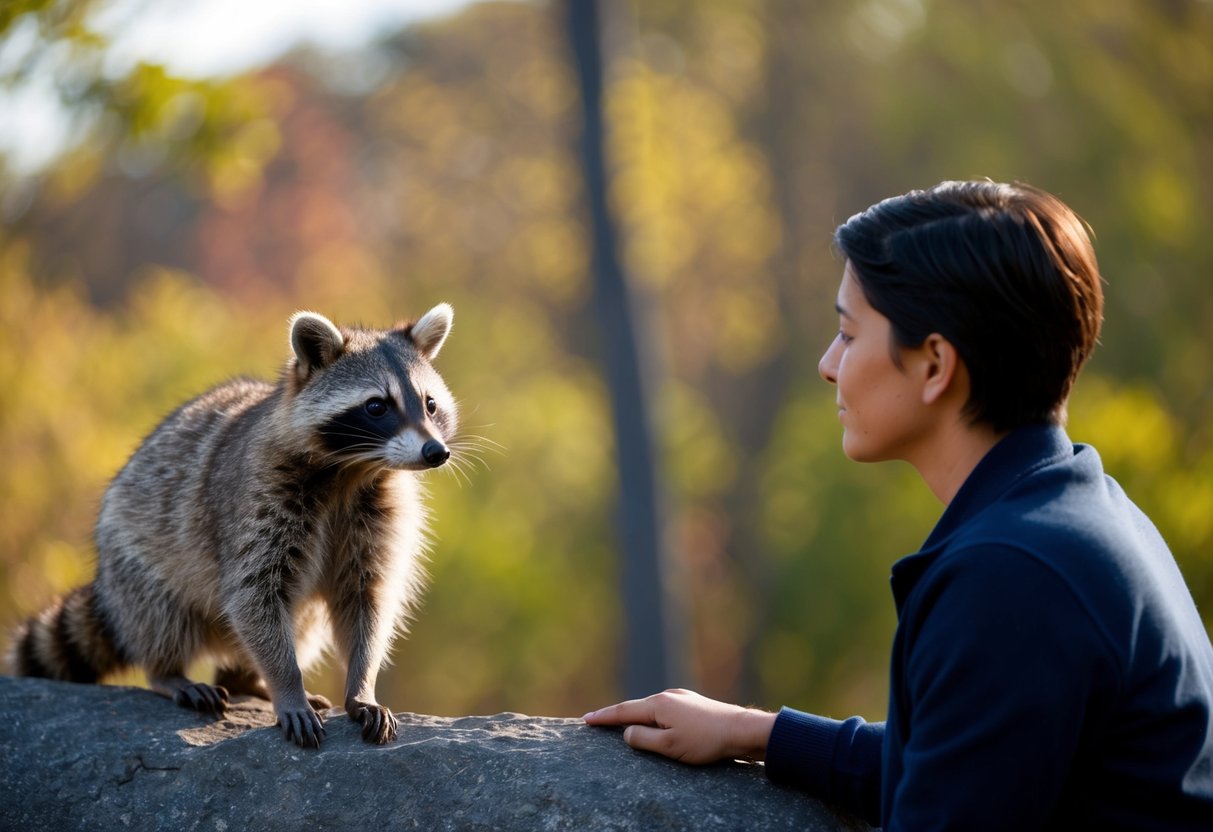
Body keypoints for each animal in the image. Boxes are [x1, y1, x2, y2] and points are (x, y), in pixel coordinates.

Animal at [7, 304, 458, 748]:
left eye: (430, 404)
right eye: (377, 406)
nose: (436, 452)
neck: (352, 471)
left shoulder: (380, 514)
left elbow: (368, 597)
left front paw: (362, 686)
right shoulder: (256, 501)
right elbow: (254, 596)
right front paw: (287, 685)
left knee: (302, 621)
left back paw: (247, 678)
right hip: (132, 556)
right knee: (162, 612)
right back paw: (168, 671)